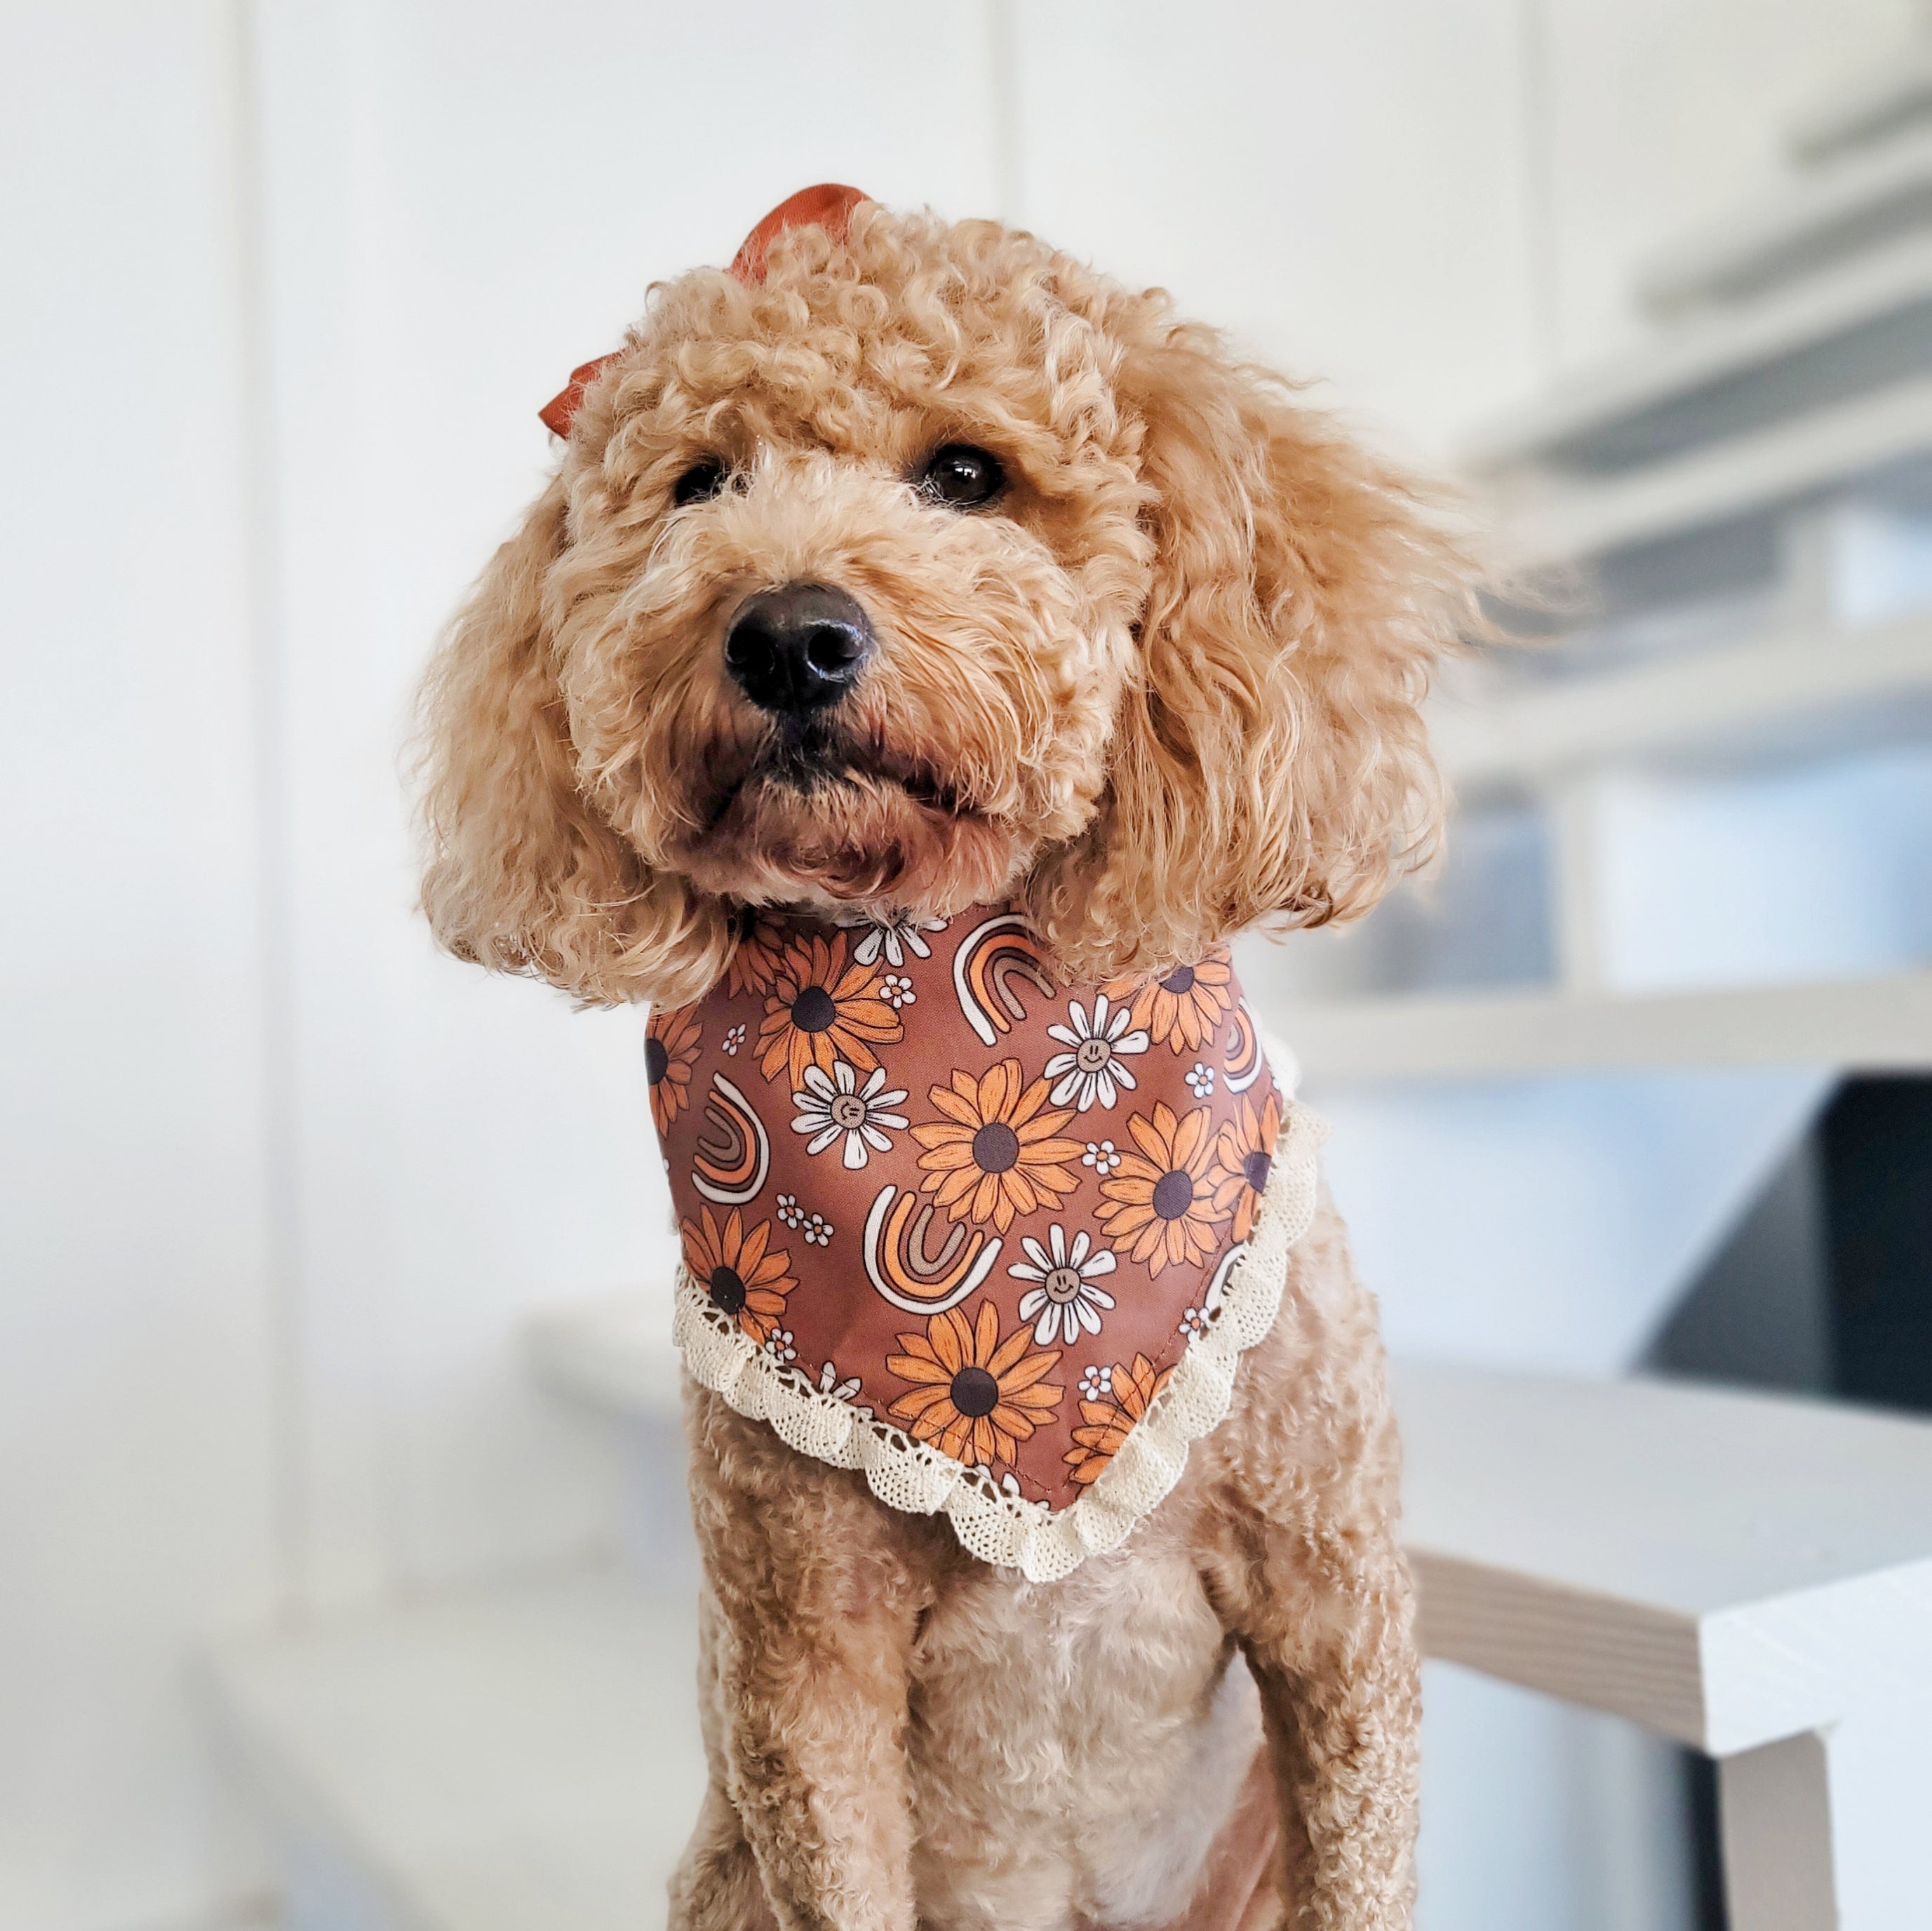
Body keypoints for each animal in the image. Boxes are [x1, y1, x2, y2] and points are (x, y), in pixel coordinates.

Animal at [419, 185, 1461, 1931]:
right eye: (702, 485)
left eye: (966, 473)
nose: (788, 635)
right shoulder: (800, 1661)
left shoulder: (1334, 1596)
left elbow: (1363, 1849)